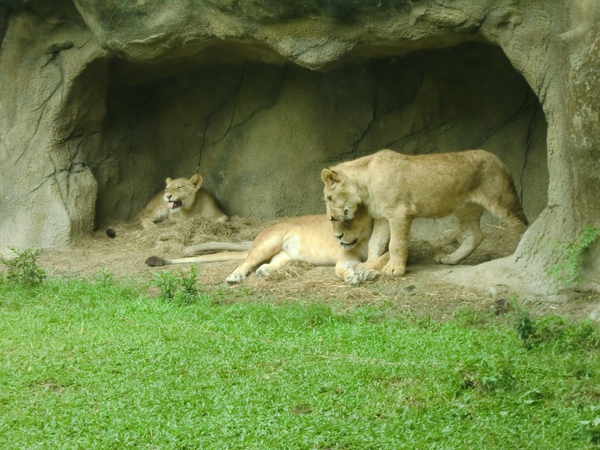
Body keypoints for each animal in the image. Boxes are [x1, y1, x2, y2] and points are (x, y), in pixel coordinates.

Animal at [322, 149, 528, 276]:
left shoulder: (399, 213)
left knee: (522, 226)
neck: (365, 185)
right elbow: (375, 243)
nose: (330, 217)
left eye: (329, 198)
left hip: (501, 200)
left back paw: (519, 255)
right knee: (474, 236)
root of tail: (500, 160)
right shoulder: (382, 217)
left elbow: (396, 244)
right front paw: (370, 264)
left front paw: (394, 269)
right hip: (466, 209)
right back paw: (449, 259)